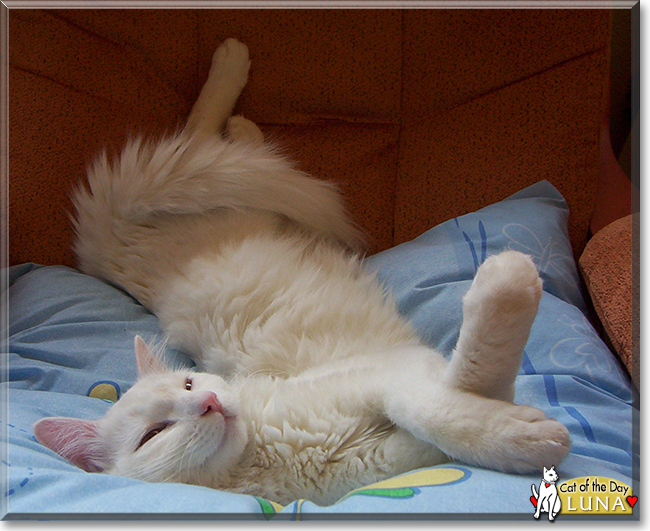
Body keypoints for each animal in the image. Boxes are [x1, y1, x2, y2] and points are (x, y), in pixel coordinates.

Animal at [33, 38, 568, 508]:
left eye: (187, 384)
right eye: (154, 435)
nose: (208, 402)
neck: (271, 449)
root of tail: (106, 238)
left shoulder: (392, 376)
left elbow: (440, 402)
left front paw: (508, 282)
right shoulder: (391, 455)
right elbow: (462, 404)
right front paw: (531, 436)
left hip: (221, 192)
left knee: (201, 132)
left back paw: (235, 77)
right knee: (209, 140)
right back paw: (244, 118)